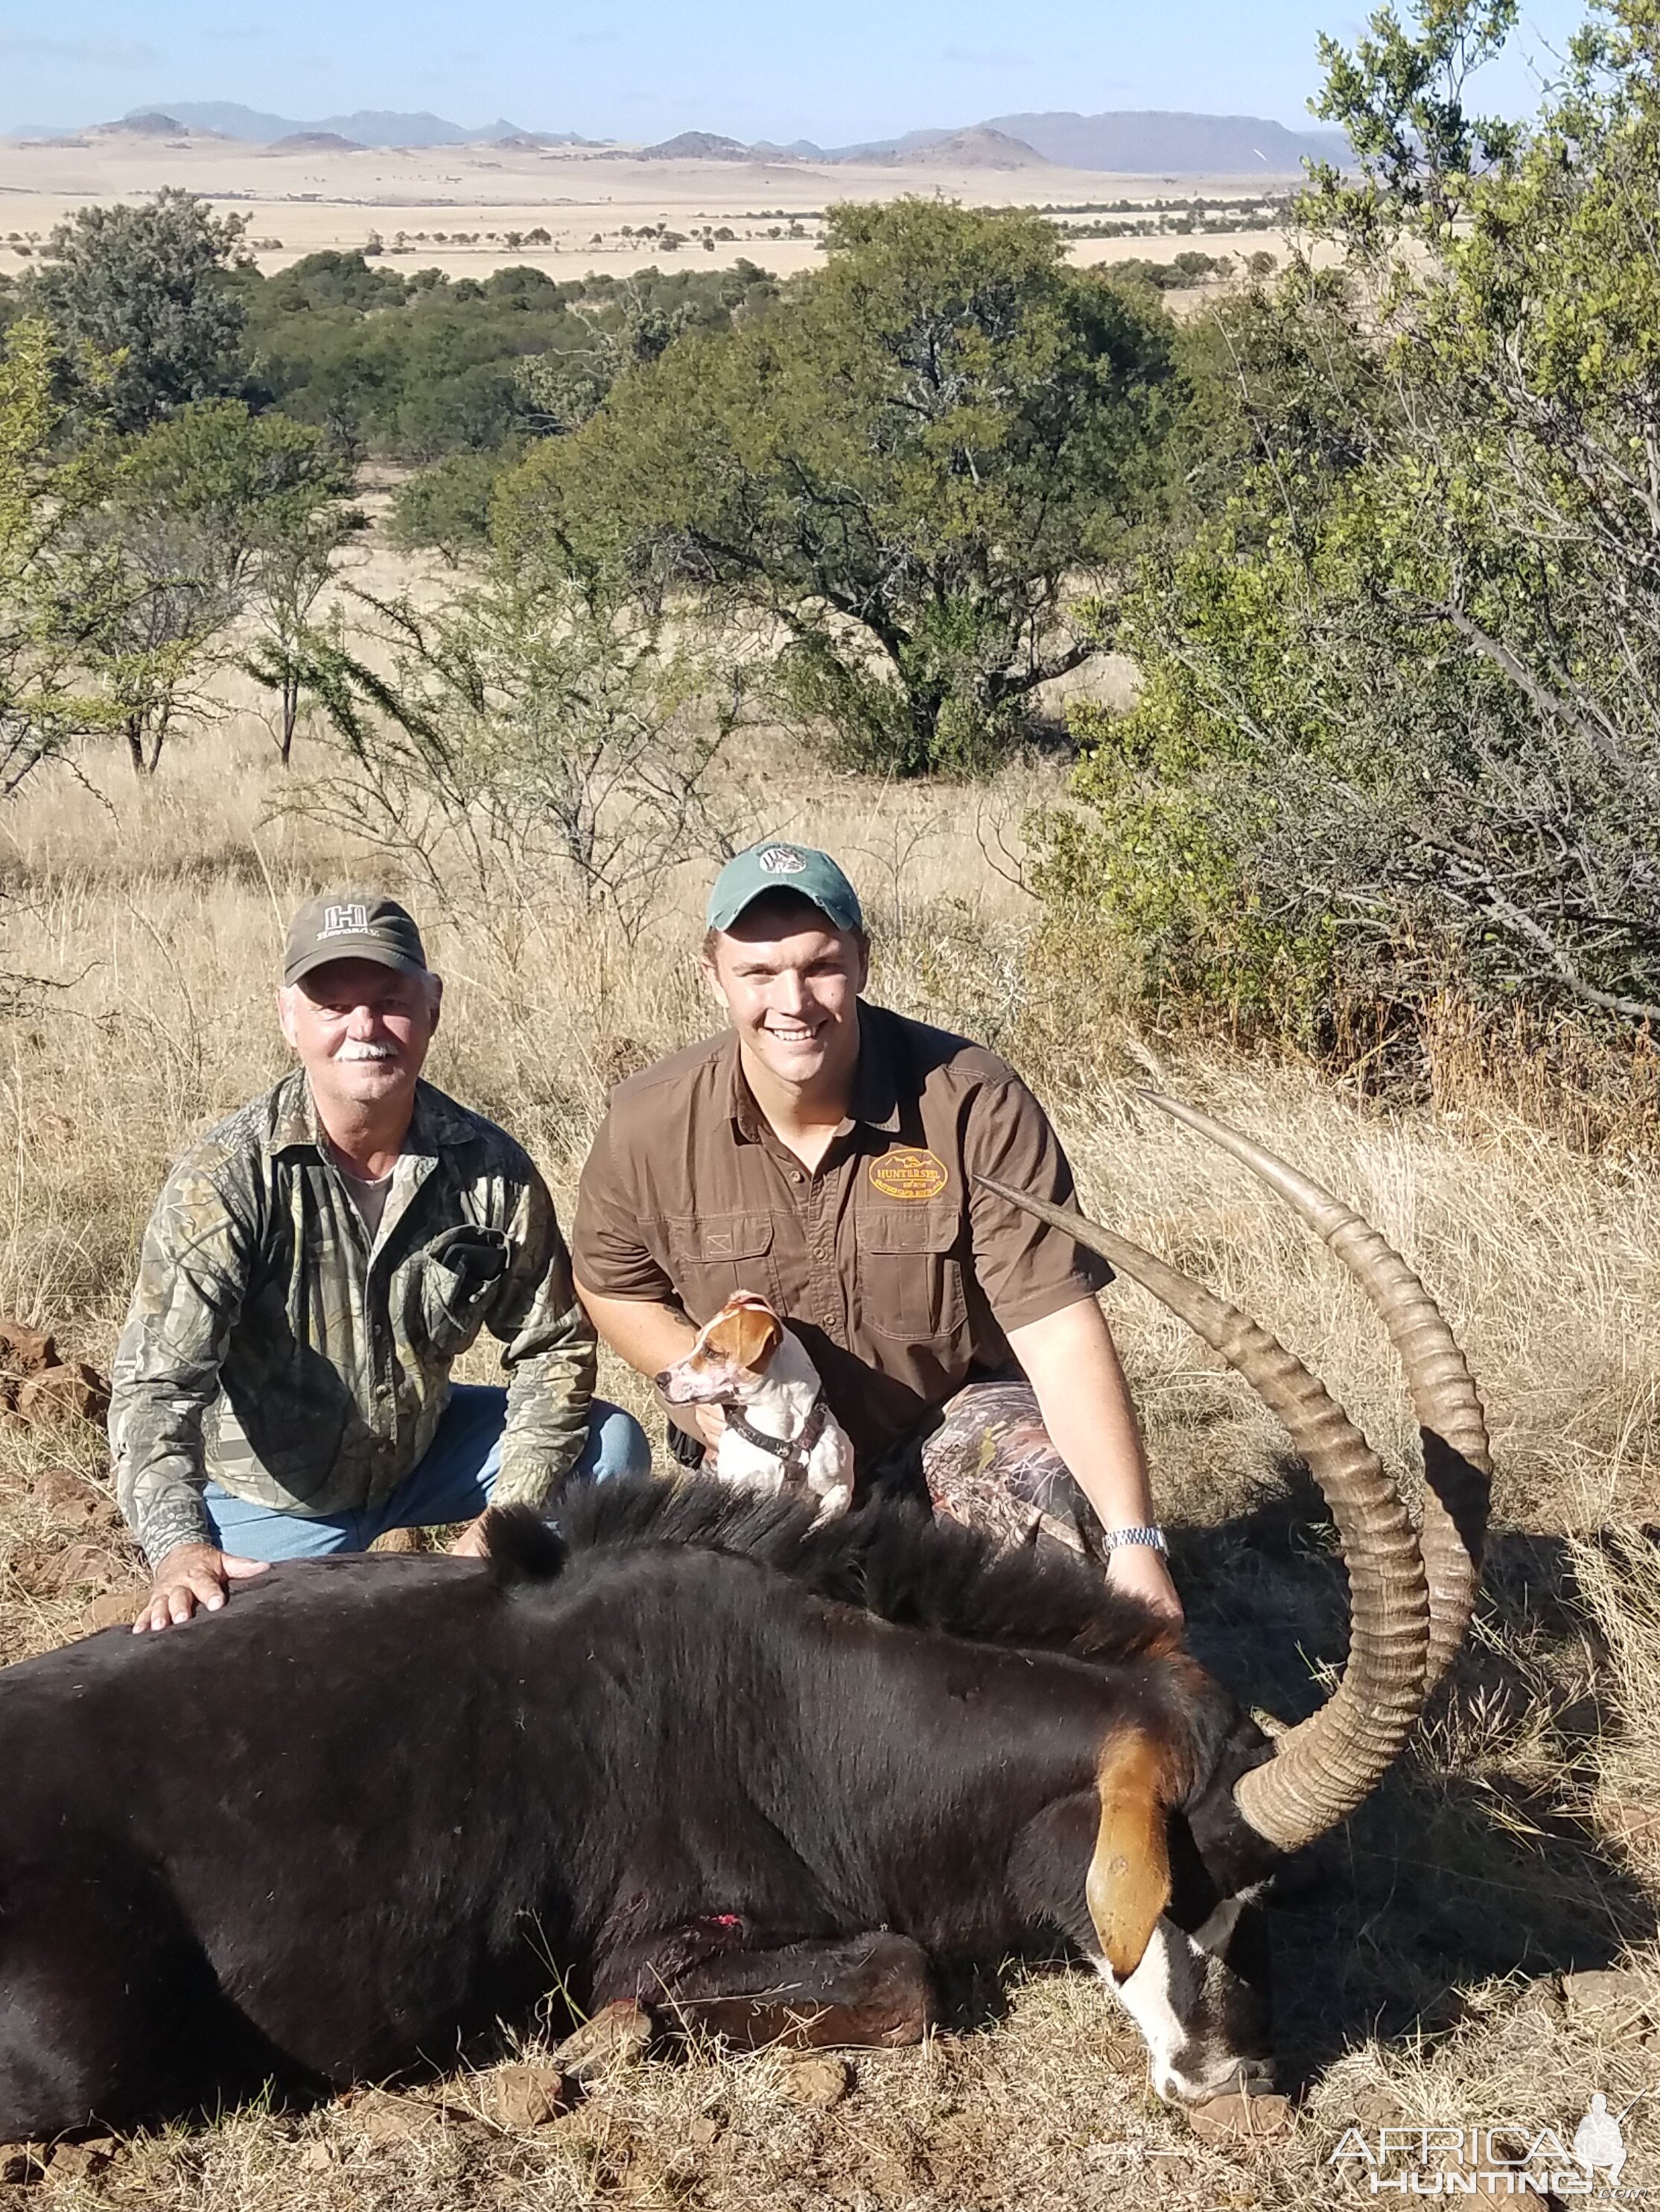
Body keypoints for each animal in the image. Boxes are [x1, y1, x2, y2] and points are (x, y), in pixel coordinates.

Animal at [655, 1292, 859, 1522]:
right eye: (696, 1343)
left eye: (711, 1352)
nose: (660, 1379)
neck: (786, 1438)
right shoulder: (738, 1489)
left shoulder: (840, 1488)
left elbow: (829, 1510)